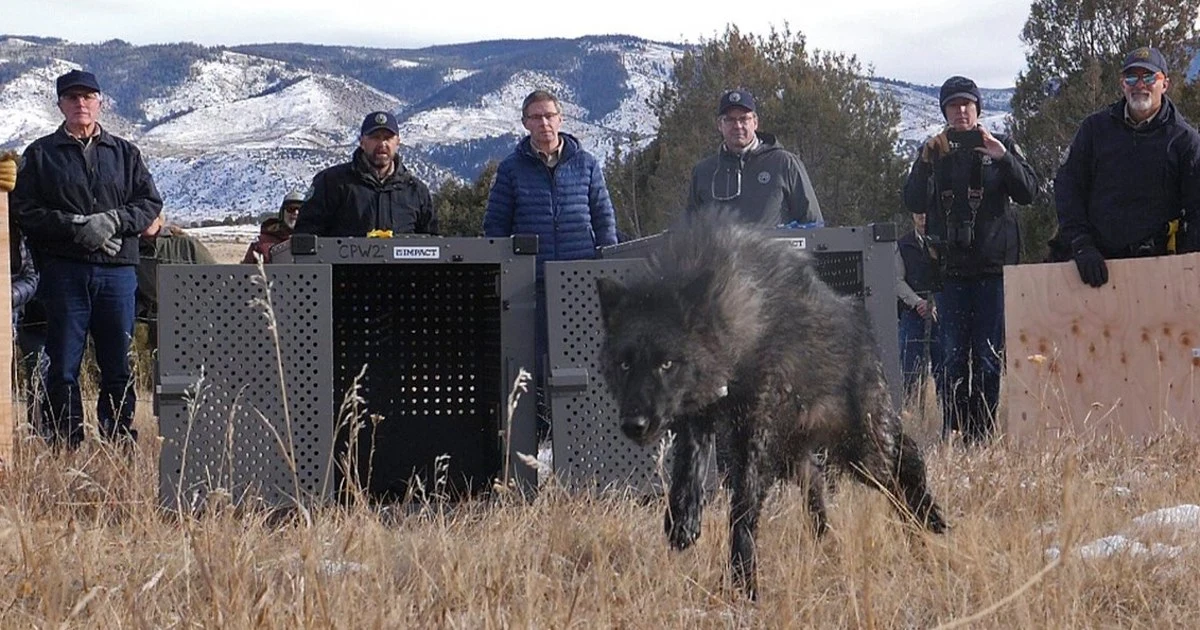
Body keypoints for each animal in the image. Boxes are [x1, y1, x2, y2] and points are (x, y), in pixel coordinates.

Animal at [595, 216, 940, 600]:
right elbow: (689, 471)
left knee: (904, 470)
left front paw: (744, 582)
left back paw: (926, 524)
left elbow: (742, 510)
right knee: (818, 485)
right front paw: (683, 520)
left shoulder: (754, 435)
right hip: (799, 456)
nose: (634, 424)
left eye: (666, 364)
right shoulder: (697, 419)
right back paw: (826, 544)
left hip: (862, 452)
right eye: (625, 364)